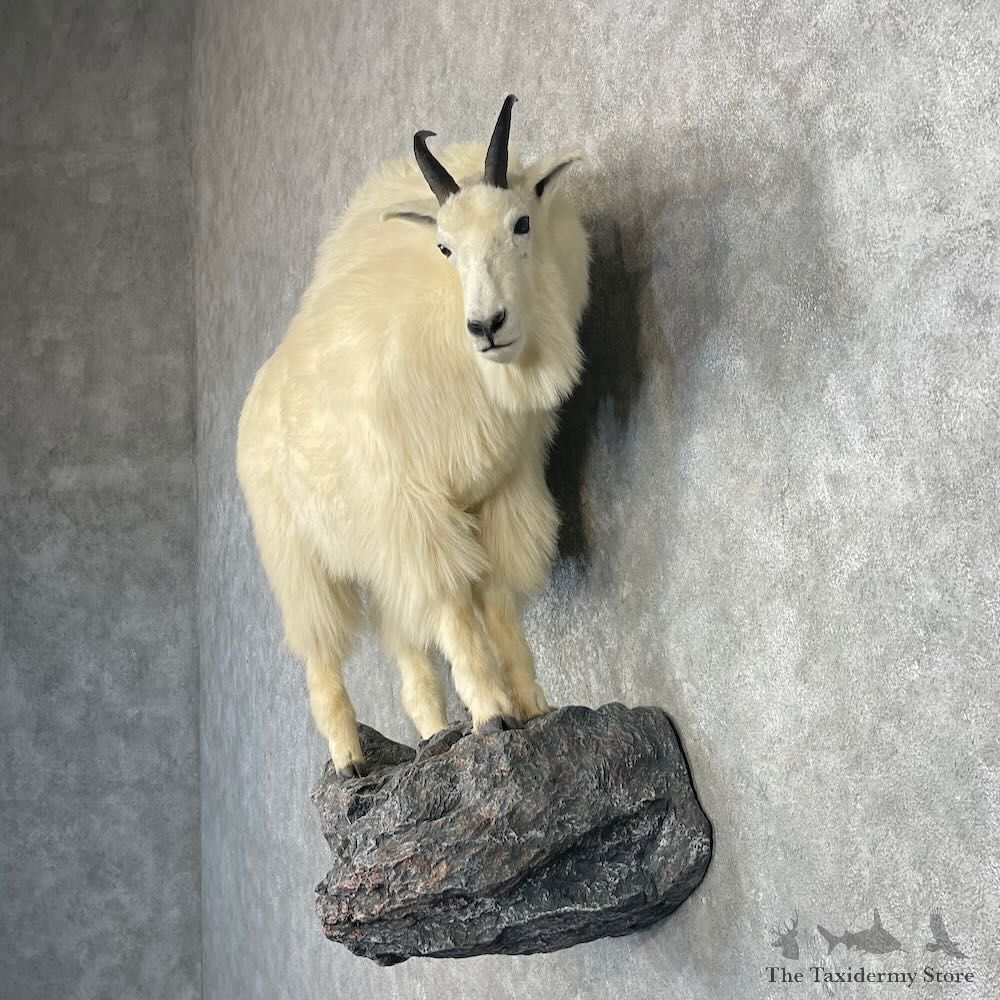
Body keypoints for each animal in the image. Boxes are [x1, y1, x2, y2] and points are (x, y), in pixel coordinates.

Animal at [237, 95, 589, 776]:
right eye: (444, 247)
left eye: (521, 223)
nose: (487, 325)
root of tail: (259, 395)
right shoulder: (417, 509)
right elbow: (456, 612)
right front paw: (492, 716)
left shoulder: (502, 495)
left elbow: (498, 605)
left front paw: (533, 707)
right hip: (297, 556)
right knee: (322, 652)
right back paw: (350, 760)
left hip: (373, 551)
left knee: (405, 645)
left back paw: (431, 734)